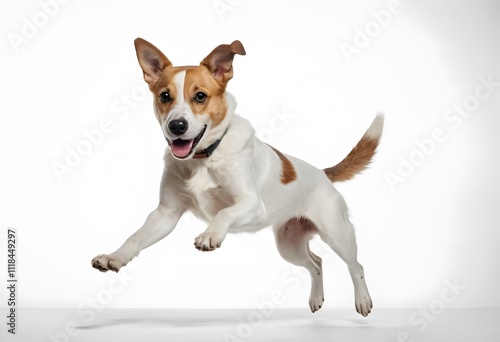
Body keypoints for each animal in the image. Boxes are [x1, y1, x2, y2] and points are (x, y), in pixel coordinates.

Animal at [92, 38, 384, 318]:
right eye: (165, 96)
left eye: (200, 96)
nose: (176, 126)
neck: (204, 158)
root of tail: (323, 174)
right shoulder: (166, 214)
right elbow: (136, 237)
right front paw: (115, 257)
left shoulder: (251, 204)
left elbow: (224, 213)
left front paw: (209, 236)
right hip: (288, 244)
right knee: (317, 264)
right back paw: (316, 299)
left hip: (337, 234)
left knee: (356, 266)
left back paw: (363, 300)